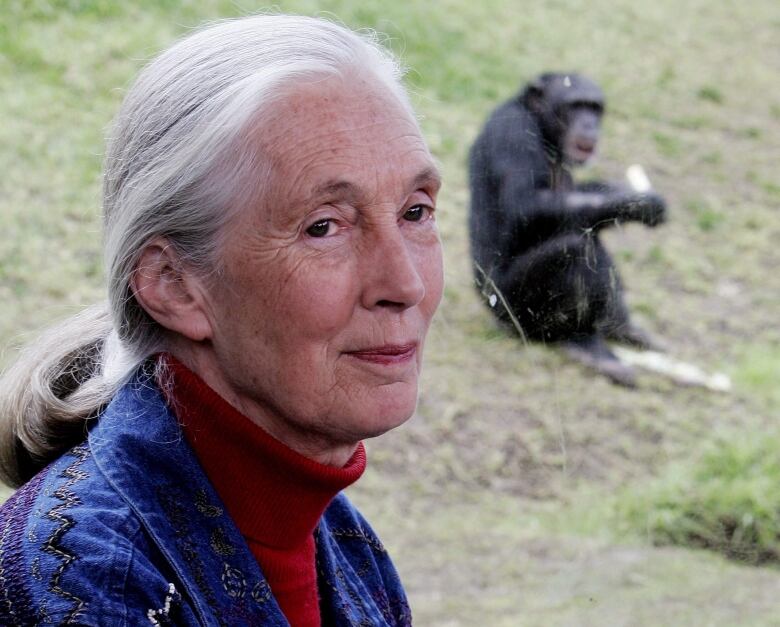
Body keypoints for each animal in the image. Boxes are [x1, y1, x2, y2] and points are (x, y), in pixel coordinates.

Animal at [466, 73, 668, 388]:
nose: (589, 124)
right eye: (576, 106)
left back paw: (622, 328)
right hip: (512, 310)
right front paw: (633, 202)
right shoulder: (513, 134)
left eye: (594, 108)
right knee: (575, 249)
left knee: (589, 236)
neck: (541, 126)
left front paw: (627, 194)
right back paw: (588, 346)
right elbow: (524, 205)